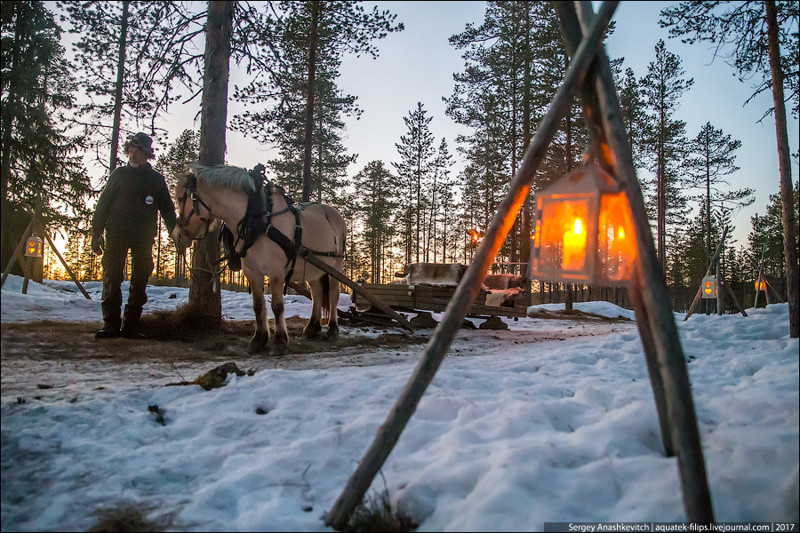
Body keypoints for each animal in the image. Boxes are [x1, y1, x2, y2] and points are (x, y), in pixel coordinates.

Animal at [172, 162, 346, 354]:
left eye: (180, 198)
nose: (176, 236)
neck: (257, 219)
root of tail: (334, 213)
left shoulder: (276, 271)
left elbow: (277, 306)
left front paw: (280, 341)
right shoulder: (251, 270)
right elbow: (257, 305)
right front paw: (259, 339)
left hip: (335, 265)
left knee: (333, 294)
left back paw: (332, 329)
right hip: (313, 266)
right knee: (316, 292)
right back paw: (312, 328)